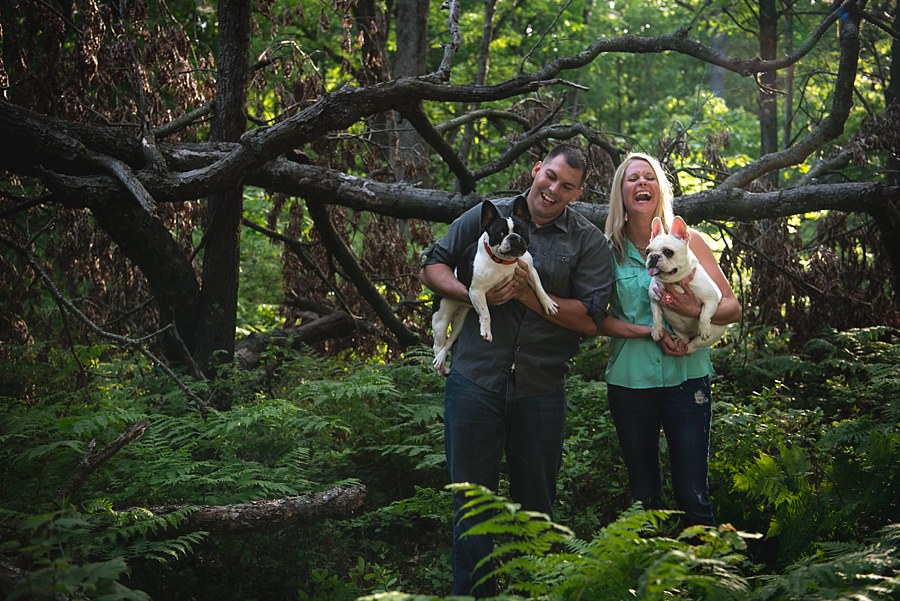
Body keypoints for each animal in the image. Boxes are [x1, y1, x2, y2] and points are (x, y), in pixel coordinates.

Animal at [432, 199, 560, 372]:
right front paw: (486, 331)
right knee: (438, 344)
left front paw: (548, 303)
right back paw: (439, 362)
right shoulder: (477, 291)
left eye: (522, 230)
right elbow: (486, 313)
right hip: (440, 319)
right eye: (500, 233)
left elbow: (540, 288)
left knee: (450, 340)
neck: (505, 261)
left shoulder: (531, 270)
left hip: (459, 321)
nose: (513, 237)